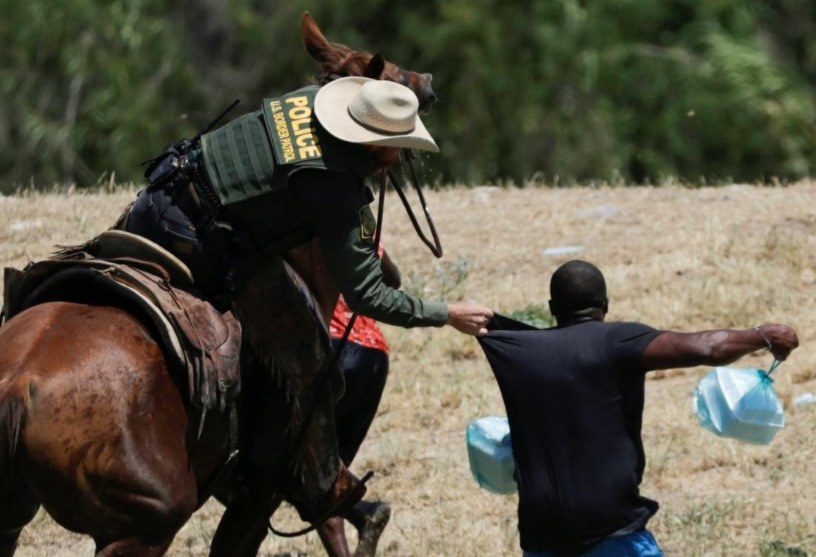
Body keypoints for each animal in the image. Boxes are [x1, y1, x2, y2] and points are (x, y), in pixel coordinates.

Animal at [0, 9, 434, 556]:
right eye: (397, 79)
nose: (429, 82)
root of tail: (19, 388)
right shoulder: (260, 494)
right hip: (143, 529)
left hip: (15, 516)